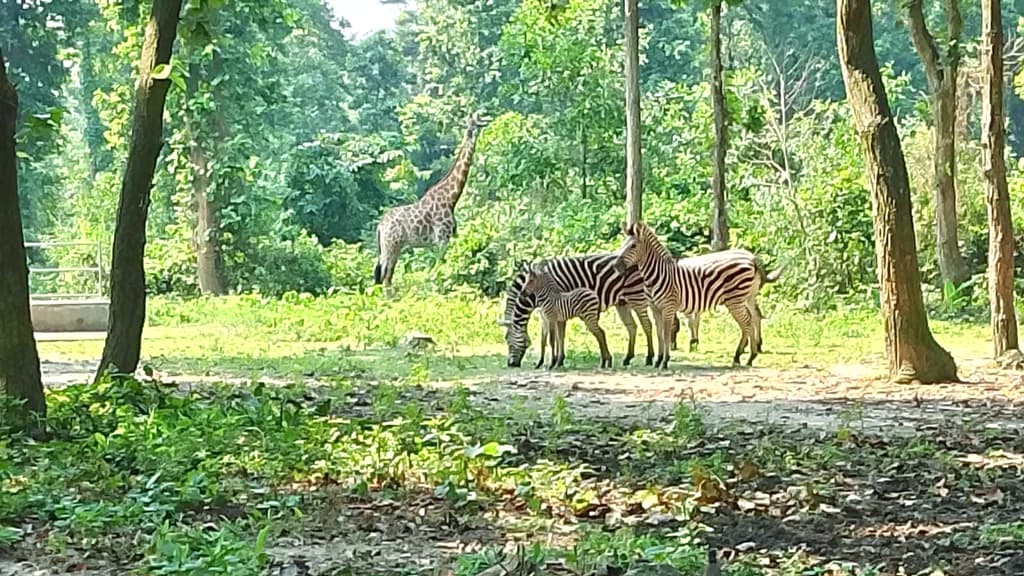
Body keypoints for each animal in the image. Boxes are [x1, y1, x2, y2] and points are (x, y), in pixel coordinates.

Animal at [374, 110, 489, 289]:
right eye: (475, 125)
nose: (473, 134)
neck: (451, 198)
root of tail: (380, 227)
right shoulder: (442, 238)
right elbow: (440, 266)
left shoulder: (448, 237)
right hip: (392, 246)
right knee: (386, 278)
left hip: (390, 248)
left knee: (386, 277)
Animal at [499, 252, 700, 366]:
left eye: (507, 340)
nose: (511, 364)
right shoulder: (547, 314)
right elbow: (547, 338)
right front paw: (545, 361)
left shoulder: (556, 309)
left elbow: (555, 337)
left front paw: (554, 361)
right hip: (623, 303)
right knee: (633, 327)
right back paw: (628, 357)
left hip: (638, 297)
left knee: (647, 325)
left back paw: (650, 358)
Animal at [610, 219, 778, 366]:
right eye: (623, 244)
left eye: (633, 246)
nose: (616, 266)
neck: (658, 274)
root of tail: (752, 259)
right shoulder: (655, 308)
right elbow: (659, 333)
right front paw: (658, 360)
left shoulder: (668, 306)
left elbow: (666, 333)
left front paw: (664, 361)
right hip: (747, 297)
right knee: (752, 319)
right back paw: (745, 356)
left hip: (735, 300)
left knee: (747, 322)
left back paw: (745, 356)